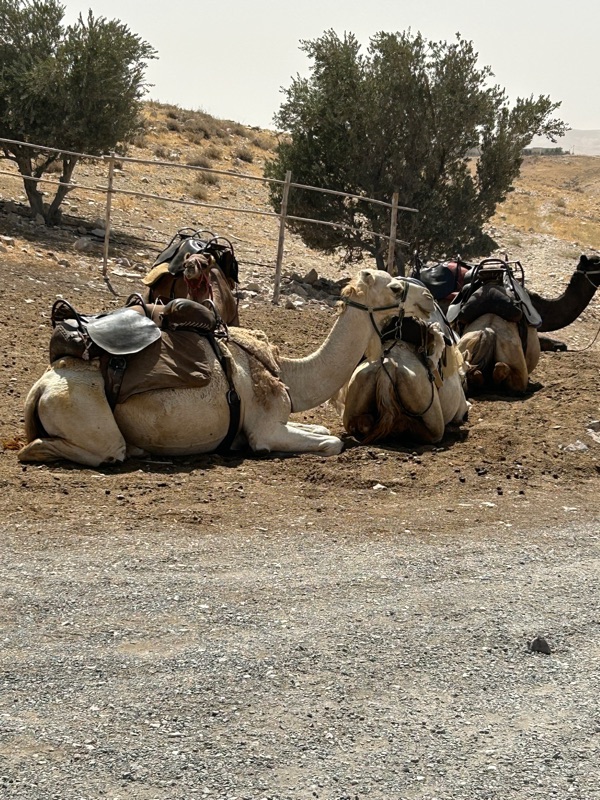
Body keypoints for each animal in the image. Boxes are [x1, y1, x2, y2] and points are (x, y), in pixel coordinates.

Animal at [18, 269, 435, 467]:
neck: (287, 371)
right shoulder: (265, 428)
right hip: (88, 417)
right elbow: (331, 442)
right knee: (61, 448)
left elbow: (320, 429)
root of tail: (40, 387)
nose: (430, 298)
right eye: (395, 288)